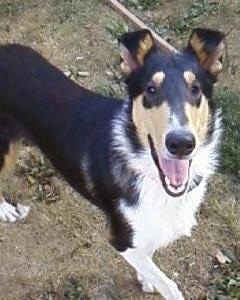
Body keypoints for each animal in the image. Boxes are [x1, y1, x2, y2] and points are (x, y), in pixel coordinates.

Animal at [0, 27, 224, 298]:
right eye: (151, 89)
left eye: (195, 88)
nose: (180, 143)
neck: (146, 170)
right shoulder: (120, 239)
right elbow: (169, 284)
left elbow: (149, 256)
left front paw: (144, 278)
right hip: (4, 149)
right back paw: (5, 210)